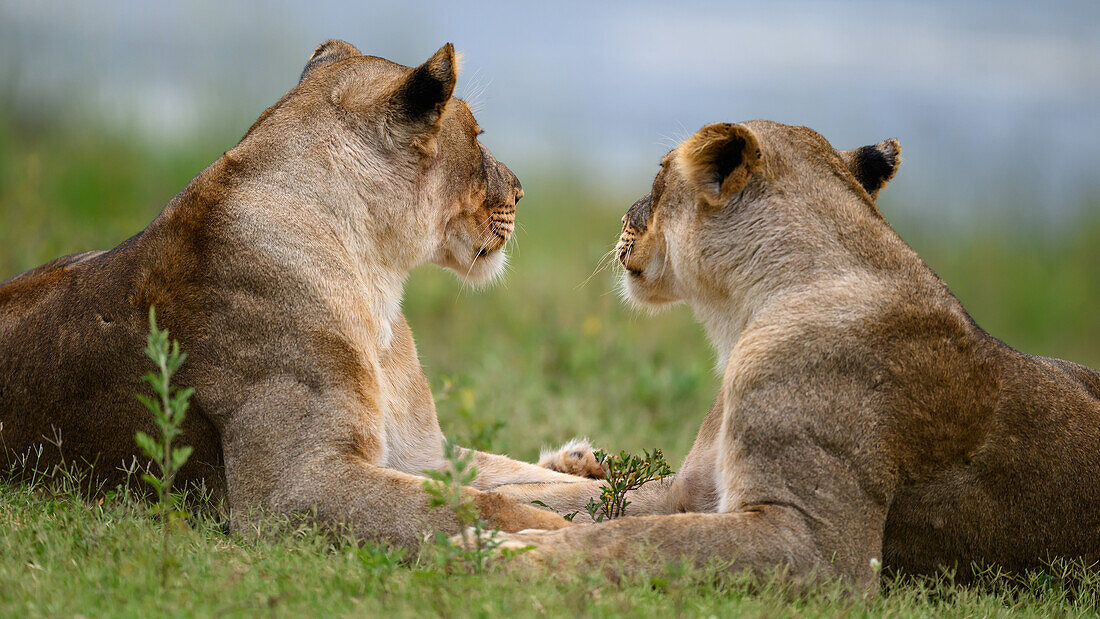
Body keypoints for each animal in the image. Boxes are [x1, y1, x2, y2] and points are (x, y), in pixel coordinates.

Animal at [490, 119, 1100, 589]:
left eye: (659, 176)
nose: (623, 219)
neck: (744, 315)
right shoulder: (692, 492)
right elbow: (562, 505)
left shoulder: (819, 549)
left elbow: (631, 537)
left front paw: (505, 551)